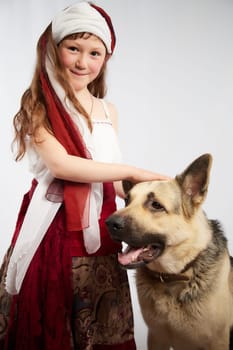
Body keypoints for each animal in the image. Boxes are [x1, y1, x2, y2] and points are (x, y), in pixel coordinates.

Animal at [105, 154, 233, 348]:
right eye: (127, 200)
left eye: (156, 205)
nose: (109, 223)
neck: (173, 277)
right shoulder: (156, 336)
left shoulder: (218, 342)